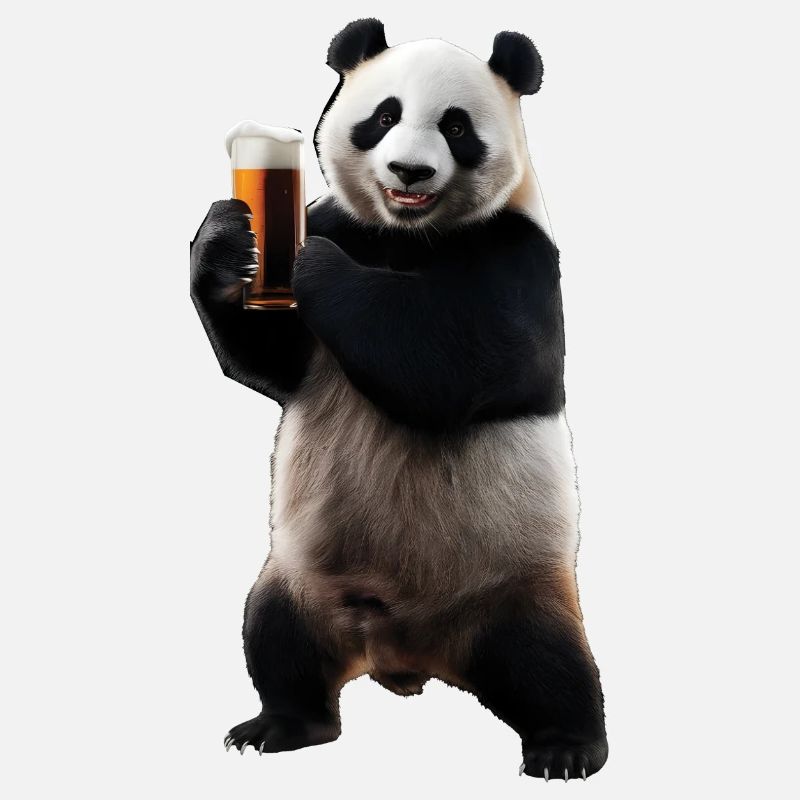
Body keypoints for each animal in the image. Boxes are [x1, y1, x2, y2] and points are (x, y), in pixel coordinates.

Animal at [190, 18, 608, 782]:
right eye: (384, 117)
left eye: (456, 127)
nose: (410, 172)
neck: (407, 233)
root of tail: (410, 657)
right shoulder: (346, 220)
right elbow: (272, 364)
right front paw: (231, 239)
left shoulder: (517, 252)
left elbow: (454, 356)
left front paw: (311, 264)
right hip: (301, 579)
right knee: (275, 638)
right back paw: (280, 725)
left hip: (511, 583)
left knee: (548, 661)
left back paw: (566, 746)